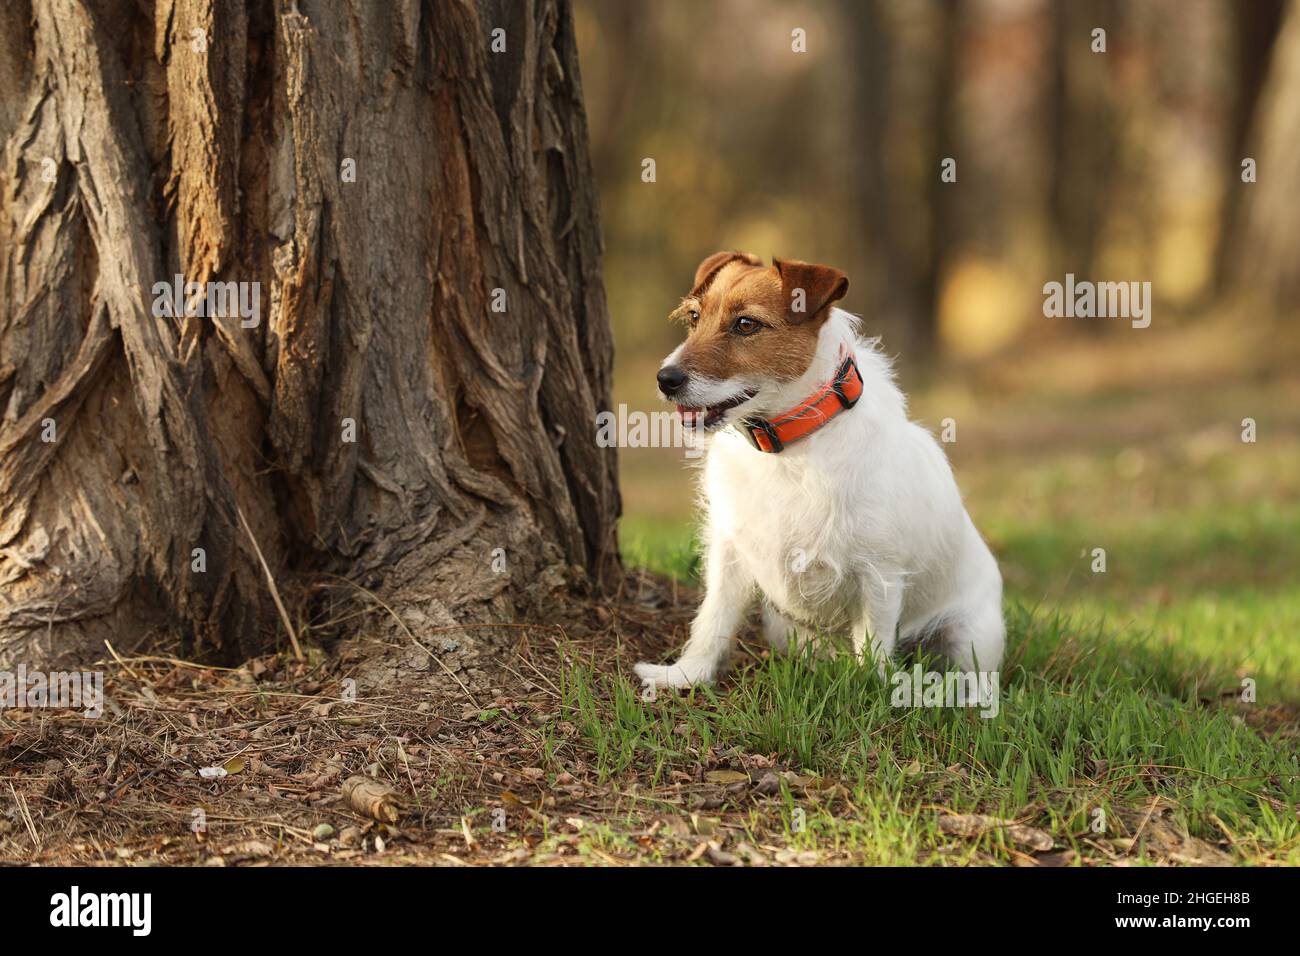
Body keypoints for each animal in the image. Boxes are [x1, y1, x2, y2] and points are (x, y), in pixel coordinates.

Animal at [634, 251, 1008, 691]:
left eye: (746, 324)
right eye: (694, 317)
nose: (666, 378)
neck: (787, 447)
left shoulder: (879, 574)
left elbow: (873, 643)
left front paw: (868, 691)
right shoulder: (729, 553)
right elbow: (713, 620)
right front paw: (684, 676)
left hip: (970, 637)